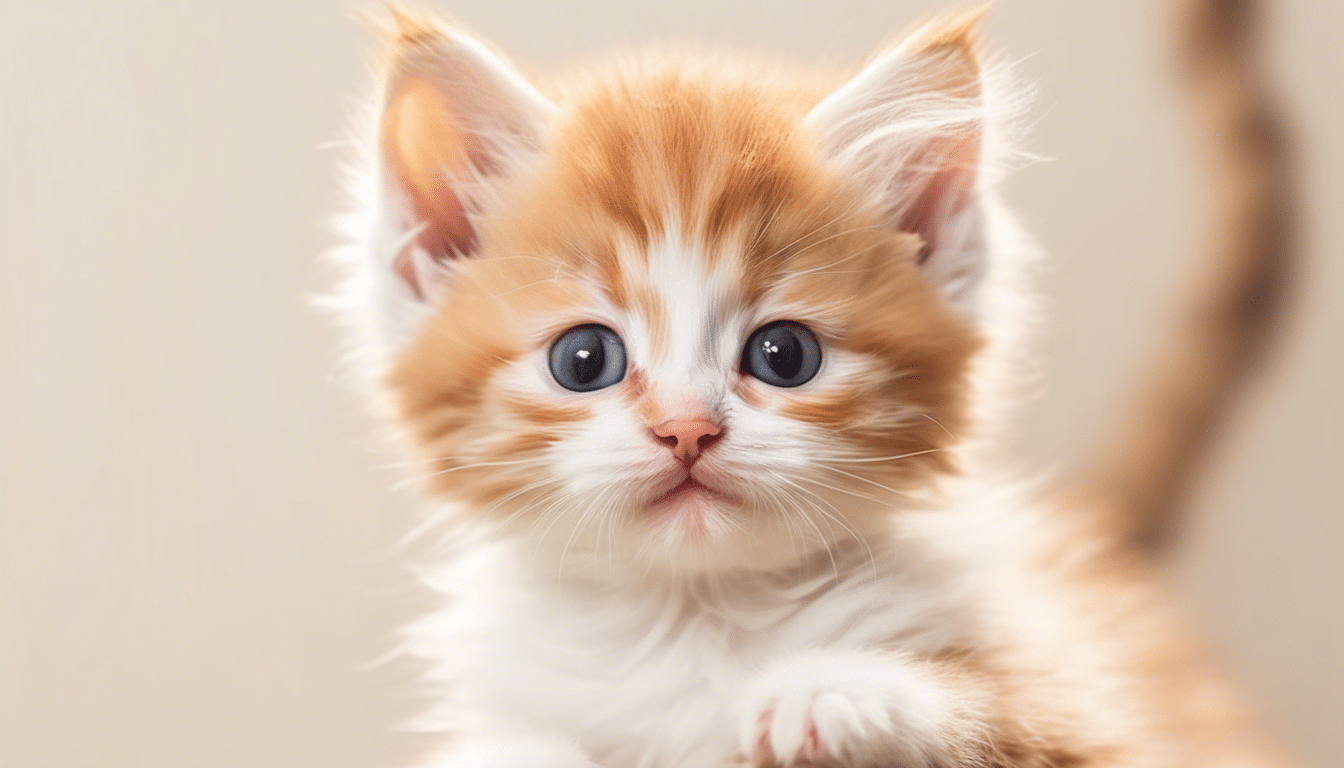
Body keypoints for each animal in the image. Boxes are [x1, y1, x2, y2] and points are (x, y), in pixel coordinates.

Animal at [330, 7, 1284, 768]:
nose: (685, 429)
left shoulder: (1095, 706)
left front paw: (838, 692)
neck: (695, 617)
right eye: (583, 360)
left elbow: (1004, 715)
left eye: (784, 355)